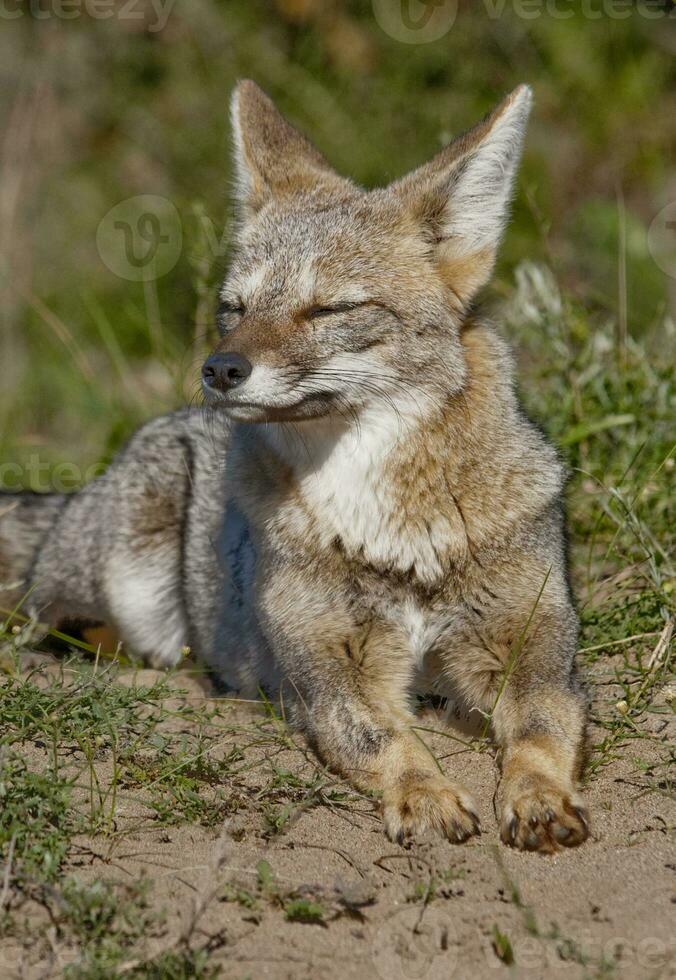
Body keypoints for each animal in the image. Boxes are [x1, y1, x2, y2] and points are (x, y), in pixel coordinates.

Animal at [1, 82, 592, 848]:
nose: (220, 369)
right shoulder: (330, 667)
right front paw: (426, 794)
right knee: (51, 624)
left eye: (329, 308)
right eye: (234, 308)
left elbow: (542, 727)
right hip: (121, 576)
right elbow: (381, 737)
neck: (392, 531)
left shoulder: (530, 643)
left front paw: (539, 797)